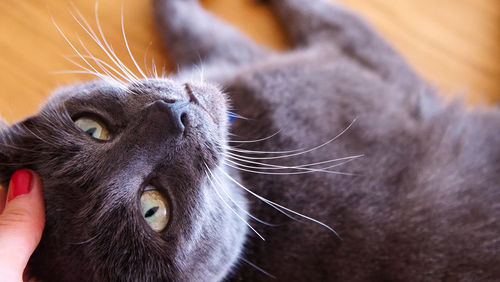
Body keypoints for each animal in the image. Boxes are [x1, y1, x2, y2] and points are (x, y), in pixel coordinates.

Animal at [0, 0, 500, 280]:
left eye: (91, 128)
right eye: (153, 209)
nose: (173, 114)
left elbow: (185, 29)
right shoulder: (360, 61)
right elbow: (322, 13)